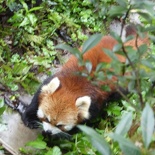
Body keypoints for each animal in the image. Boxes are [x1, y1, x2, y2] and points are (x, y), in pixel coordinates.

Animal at [8, 24, 150, 137]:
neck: (73, 87)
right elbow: (38, 96)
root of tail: (123, 47)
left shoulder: (94, 105)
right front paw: (28, 116)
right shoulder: (54, 79)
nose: (48, 132)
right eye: (46, 118)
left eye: (60, 125)